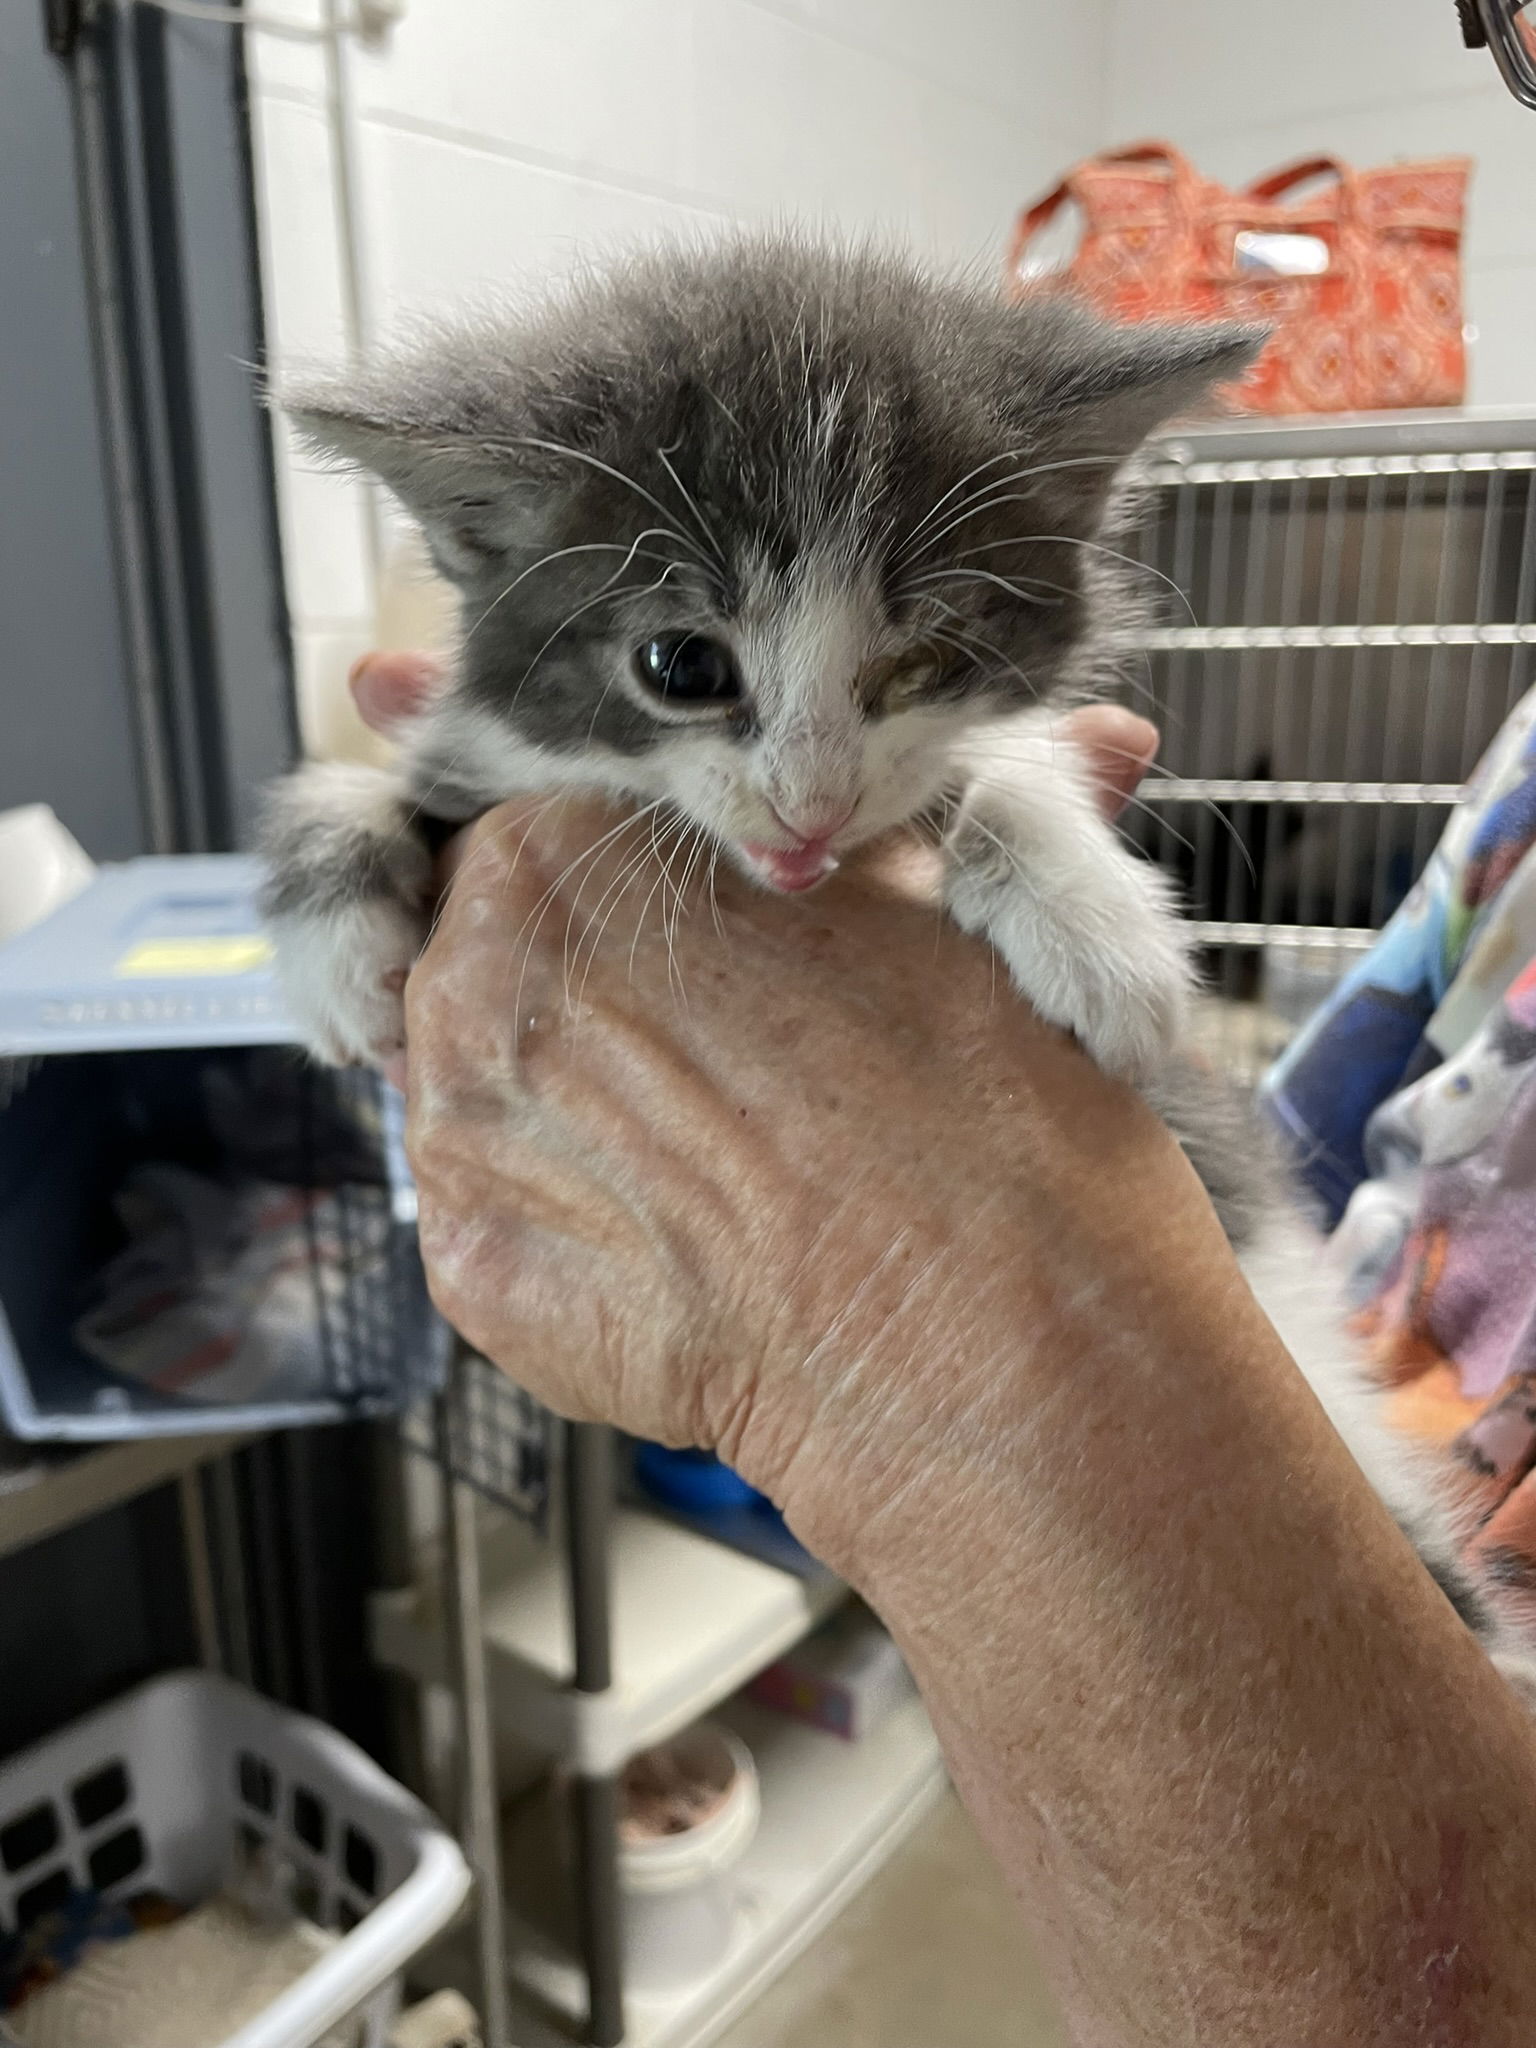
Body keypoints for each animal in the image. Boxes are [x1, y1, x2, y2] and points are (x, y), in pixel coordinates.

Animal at [262, 239, 1536, 1703]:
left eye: (924, 659)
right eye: (680, 664)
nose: (808, 811)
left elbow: (1009, 762)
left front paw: (1089, 915)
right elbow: (361, 784)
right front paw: (335, 940)